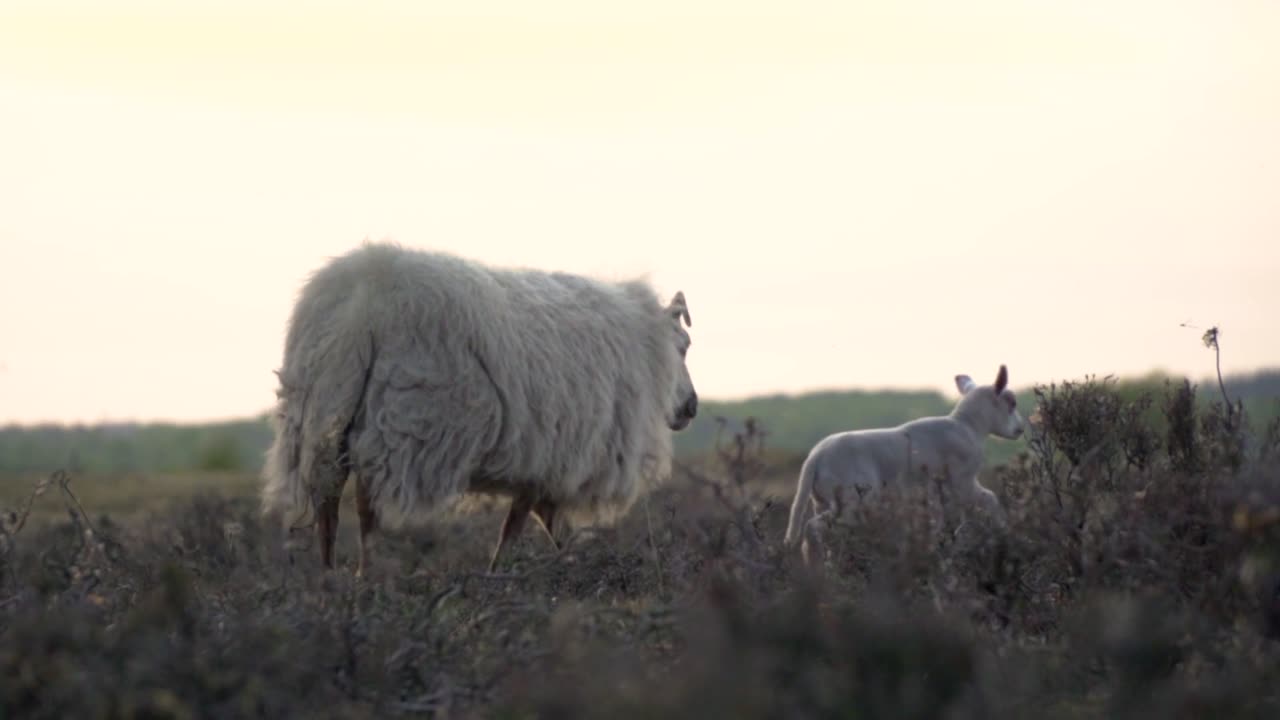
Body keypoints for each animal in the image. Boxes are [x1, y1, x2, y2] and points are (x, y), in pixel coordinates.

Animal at [261, 243, 701, 573]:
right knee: (366, 509)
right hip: (399, 421)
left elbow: (538, 520)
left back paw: (331, 578)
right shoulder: (549, 456)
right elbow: (524, 525)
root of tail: (363, 295)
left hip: (323, 413)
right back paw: (363, 579)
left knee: (329, 506)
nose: (692, 407)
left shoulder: (540, 460)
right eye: (683, 346)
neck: (647, 347)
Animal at [773, 366, 1024, 563]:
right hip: (852, 501)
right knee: (813, 529)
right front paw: (1003, 528)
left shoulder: (934, 497)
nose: (1020, 429)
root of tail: (815, 457)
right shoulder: (963, 482)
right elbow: (990, 498)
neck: (969, 426)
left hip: (823, 501)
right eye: (1011, 403)